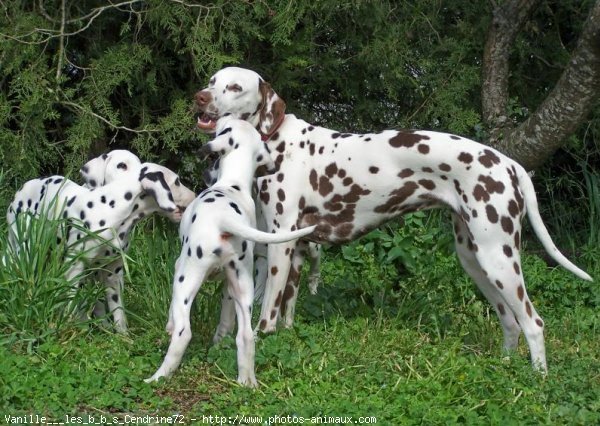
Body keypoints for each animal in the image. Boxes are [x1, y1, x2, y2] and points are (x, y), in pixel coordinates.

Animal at [146, 115, 316, 386]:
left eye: (225, 129)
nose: (225, 117)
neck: (232, 185)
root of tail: (224, 219)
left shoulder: (178, 267)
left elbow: (172, 315)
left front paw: (168, 327)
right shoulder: (229, 286)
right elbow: (226, 322)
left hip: (187, 277)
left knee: (184, 333)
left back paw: (158, 376)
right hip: (243, 285)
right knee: (245, 336)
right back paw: (248, 382)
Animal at [193, 65, 592, 372]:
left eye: (234, 87)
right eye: (212, 80)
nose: (199, 97)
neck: (275, 140)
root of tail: (508, 163)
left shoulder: (280, 247)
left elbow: (266, 314)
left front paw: (262, 341)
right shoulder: (291, 249)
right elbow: (287, 308)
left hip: (499, 260)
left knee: (533, 322)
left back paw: (537, 379)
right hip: (476, 260)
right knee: (510, 321)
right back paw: (505, 368)